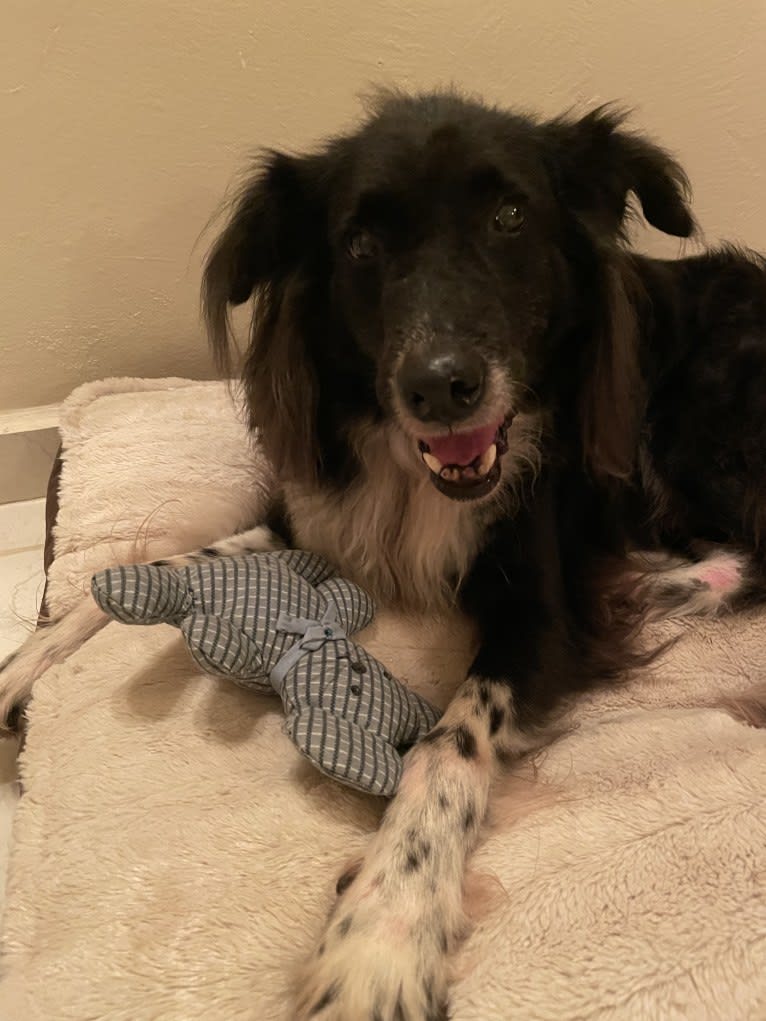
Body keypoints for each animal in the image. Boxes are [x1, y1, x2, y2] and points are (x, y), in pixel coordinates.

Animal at [1, 89, 766, 1021]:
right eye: (361, 243)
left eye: (511, 216)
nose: (441, 386)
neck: (416, 474)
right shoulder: (316, 527)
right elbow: (160, 567)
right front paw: (23, 663)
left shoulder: (540, 609)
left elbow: (447, 744)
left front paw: (380, 936)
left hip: (704, 423)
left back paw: (658, 586)